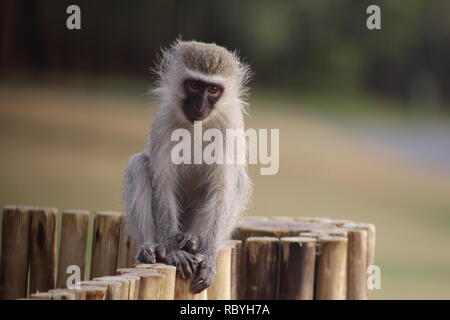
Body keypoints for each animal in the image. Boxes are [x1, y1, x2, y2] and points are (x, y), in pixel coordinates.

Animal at [123, 40, 251, 296]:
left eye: (213, 90)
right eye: (194, 85)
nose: (200, 105)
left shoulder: (230, 124)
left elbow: (222, 188)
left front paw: (208, 255)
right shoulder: (164, 121)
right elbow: (162, 183)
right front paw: (173, 251)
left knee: (238, 180)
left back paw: (192, 240)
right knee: (139, 165)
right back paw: (152, 247)